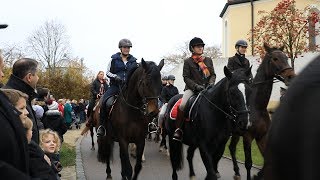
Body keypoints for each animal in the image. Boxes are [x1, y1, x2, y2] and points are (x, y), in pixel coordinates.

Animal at [226, 43, 296, 179]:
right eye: (275, 59)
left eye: (286, 57)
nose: (291, 76)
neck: (257, 106)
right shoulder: (248, 137)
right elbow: (248, 163)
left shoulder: (262, 136)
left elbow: (267, 160)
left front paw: (259, 174)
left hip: (236, 133)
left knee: (231, 148)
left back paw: (237, 172)